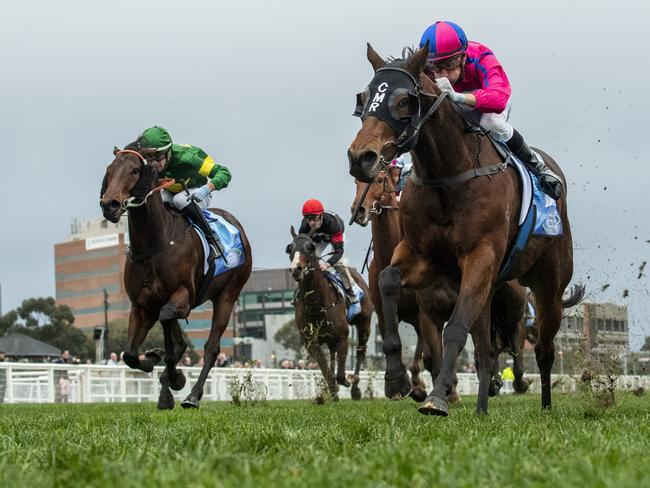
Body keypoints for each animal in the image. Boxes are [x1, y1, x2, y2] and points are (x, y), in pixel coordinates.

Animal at [98, 147, 251, 410]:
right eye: (109, 170)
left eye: (135, 170)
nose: (110, 204)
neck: (154, 246)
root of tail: (236, 225)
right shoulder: (142, 305)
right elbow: (130, 354)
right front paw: (154, 361)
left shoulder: (184, 295)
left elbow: (172, 335)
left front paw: (176, 378)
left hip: (227, 296)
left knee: (211, 348)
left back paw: (192, 396)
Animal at [288, 227, 372, 398]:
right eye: (289, 248)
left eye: (311, 248)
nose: (296, 269)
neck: (316, 305)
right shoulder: (311, 341)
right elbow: (325, 370)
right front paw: (332, 391)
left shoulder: (342, 336)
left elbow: (340, 375)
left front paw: (345, 382)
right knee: (333, 353)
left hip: (364, 324)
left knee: (360, 351)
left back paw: (355, 388)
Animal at [346, 43, 580, 416]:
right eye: (364, 97)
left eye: (403, 100)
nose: (360, 157)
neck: (449, 175)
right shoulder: (422, 258)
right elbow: (388, 283)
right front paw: (396, 379)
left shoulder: (479, 257)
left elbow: (455, 330)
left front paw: (438, 396)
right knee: (485, 350)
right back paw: (483, 406)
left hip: (549, 285)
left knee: (543, 348)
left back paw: (543, 404)